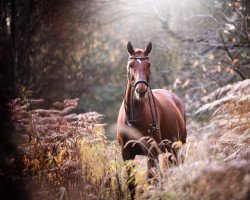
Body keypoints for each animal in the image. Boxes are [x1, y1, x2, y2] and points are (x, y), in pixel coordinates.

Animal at [116, 41, 187, 198]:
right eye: (131, 65)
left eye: (148, 64)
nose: (141, 90)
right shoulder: (126, 155)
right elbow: (132, 186)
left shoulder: (151, 152)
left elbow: (152, 180)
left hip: (177, 147)